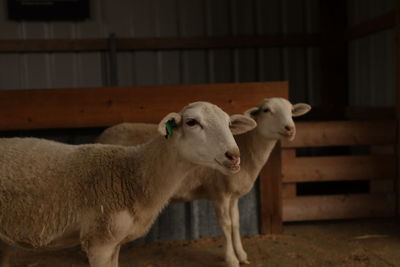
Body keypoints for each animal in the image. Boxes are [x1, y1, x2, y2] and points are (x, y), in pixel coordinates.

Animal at [0, 101, 256, 267]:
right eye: (192, 122)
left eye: (228, 124)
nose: (234, 156)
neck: (132, 174)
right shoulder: (99, 242)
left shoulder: (115, 243)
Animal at [95, 99, 310, 267]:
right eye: (266, 110)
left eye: (291, 110)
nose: (290, 129)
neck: (249, 149)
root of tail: (103, 134)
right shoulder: (219, 192)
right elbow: (226, 225)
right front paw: (231, 259)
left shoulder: (233, 195)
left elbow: (236, 223)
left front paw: (241, 254)